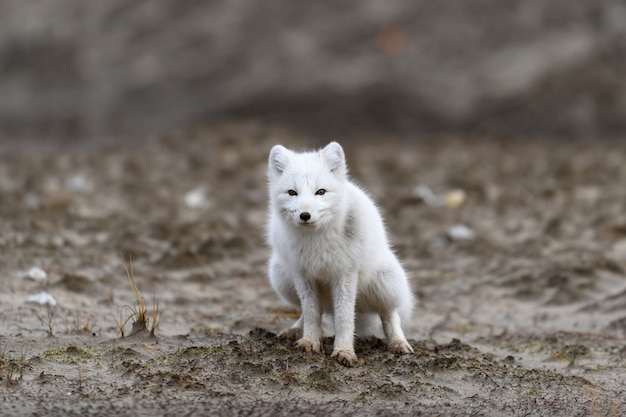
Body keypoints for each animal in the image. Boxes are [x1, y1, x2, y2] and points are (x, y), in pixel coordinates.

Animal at [264, 141, 414, 366]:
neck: (317, 242)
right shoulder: (303, 274)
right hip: (281, 277)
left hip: (385, 282)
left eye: (321, 192)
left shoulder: (345, 274)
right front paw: (310, 341)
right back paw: (295, 331)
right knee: (315, 312)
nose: (305, 215)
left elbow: (344, 318)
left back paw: (397, 342)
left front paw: (344, 351)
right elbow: (311, 312)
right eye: (292, 192)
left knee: (390, 314)